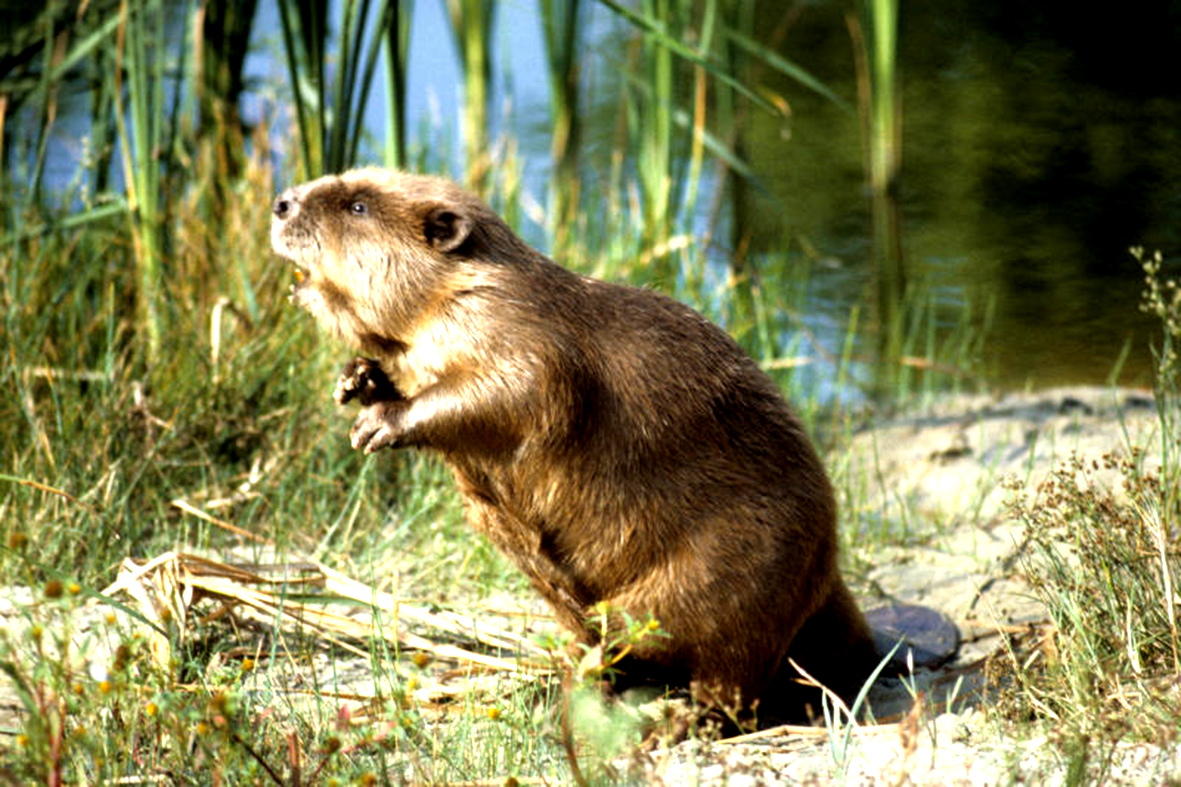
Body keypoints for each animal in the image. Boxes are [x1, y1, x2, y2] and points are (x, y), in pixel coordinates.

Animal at [268, 166, 878, 718]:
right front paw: (356, 379)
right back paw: (571, 681)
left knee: (731, 682)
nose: (281, 202)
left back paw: (675, 718)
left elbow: (518, 391)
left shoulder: (522, 331)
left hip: (734, 571)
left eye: (358, 206)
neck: (470, 287)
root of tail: (831, 582)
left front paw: (379, 423)